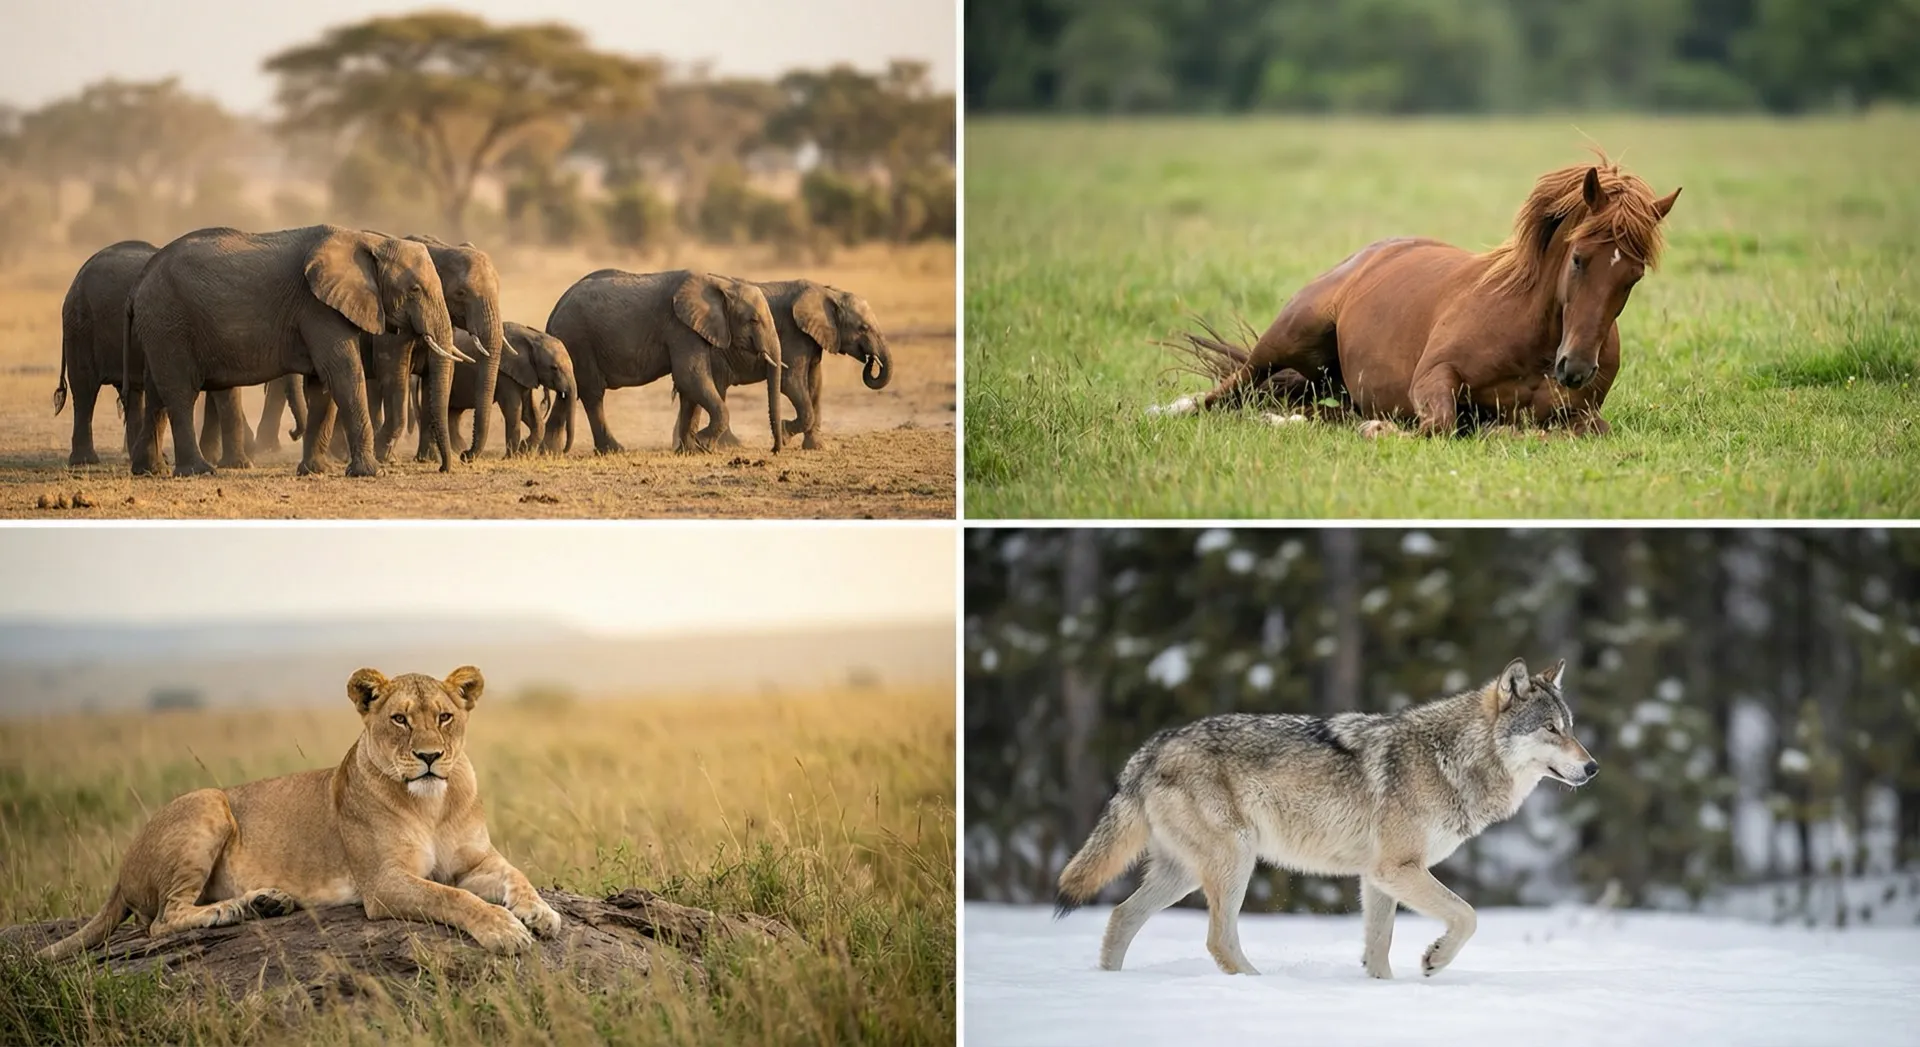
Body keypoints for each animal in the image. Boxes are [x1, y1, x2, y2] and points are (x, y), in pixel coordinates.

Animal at [38, 665, 563, 960]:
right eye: (399, 719)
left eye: (445, 717)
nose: (430, 756)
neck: (431, 803)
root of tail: (123, 867)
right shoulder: (383, 883)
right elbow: (454, 899)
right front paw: (504, 930)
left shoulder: (475, 861)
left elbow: (516, 875)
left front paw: (541, 913)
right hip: (207, 802)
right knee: (162, 920)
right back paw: (230, 911)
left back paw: (266, 902)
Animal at [125, 225, 468, 478]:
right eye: (415, 290)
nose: (445, 467)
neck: (370, 241)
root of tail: (140, 279)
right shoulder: (319, 307)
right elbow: (342, 373)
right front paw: (371, 473)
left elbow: (322, 386)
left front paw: (315, 471)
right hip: (169, 320)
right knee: (179, 392)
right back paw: (198, 471)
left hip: (161, 327)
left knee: (157, 393)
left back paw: (149, 470)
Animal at [544, 269, 784, 454]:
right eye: (753, 320)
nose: (774, 450)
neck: (721, 282)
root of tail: (556, 307)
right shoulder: (681, 327)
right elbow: (690, 377)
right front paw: (702, 444)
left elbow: (689, 387)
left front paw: (689, 450)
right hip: (579, 339)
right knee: (593, 393)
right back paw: (613, 450)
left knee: (567, 393)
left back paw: (549, 452)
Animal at [694, 279, 893, 450]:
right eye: (863, 328)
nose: (871, 360)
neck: (828, 293)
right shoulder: (795, 334)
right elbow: (790, 382)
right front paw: (784, 434)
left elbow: (815, 385)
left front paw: (816, 447)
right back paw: (729, 445)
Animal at [1161, 154, 1680, 437]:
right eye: (1578, 259)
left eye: (1632, 277)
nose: (1575, 369)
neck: (1534, 341)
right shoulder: (1433, 377)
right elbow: (1442, 425)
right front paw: (1383, 432)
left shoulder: (1581, 415)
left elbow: (1583, 431)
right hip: (1292, 334)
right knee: (1234, 386)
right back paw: (1173, 409)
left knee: (1310, 409)